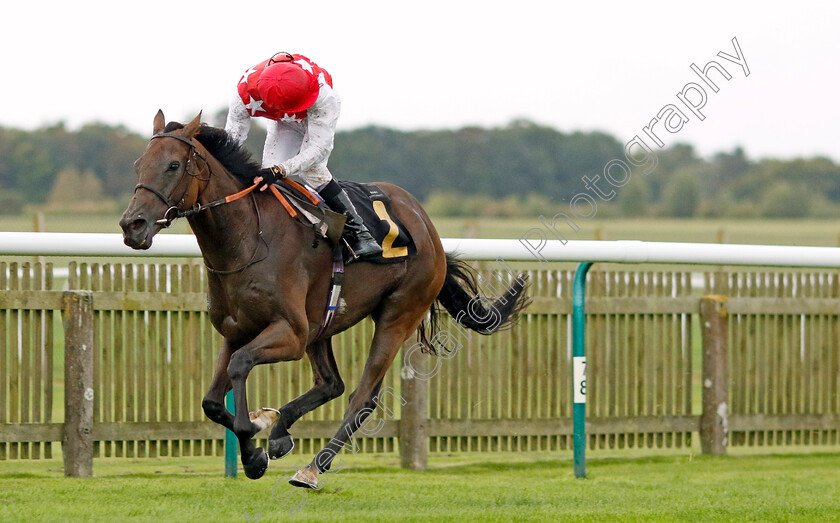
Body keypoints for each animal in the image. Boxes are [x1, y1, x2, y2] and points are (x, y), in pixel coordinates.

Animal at [120, 111, 524, 492]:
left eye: (173, 165)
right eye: (138, 164)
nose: (131, 226)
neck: (250, 239)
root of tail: (428, 226)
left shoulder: (291, 334)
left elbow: (240, 365)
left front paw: (253, 445)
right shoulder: (235, 331)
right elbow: (213, 402)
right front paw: (260, 438)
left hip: (398, 314)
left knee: (361, 398)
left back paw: (312, 468)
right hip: (323, 325)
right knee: (333, 384)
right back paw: (280, 431)